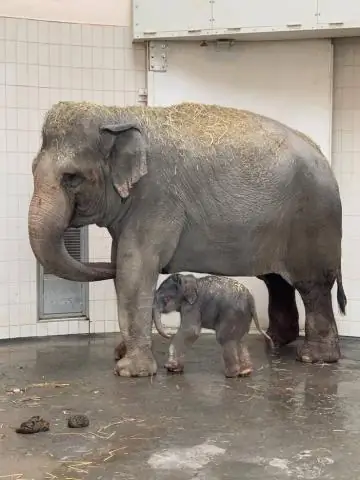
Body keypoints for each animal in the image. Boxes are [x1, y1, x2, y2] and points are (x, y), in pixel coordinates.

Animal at [27, 101, 346, 376]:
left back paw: (314, 358)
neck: (116, 113)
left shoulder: (157, 200)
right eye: (32, 170)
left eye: (72, 177)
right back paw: (278, 343)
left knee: (312, 286)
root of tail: (323, 156)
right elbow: (124, 265)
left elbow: (134, 267)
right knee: (276, 281)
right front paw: (122, 356)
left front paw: (130, 371)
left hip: (314, 220)